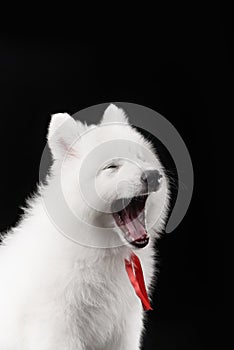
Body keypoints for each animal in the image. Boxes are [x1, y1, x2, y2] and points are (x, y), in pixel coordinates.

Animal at [0, 104, 168, 350]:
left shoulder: (124, 326)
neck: (100, 247)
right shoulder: (57, 326)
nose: (153, 176)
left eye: (140, 157)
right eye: (111, 167)